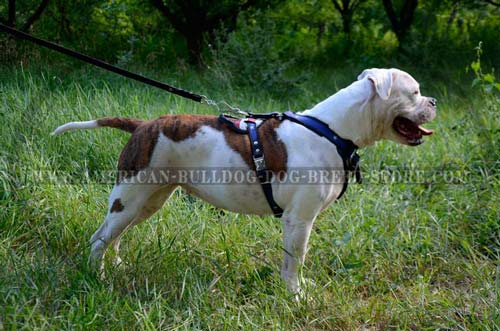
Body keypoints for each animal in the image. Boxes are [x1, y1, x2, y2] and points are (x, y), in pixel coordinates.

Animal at [52, 68, 436, 294]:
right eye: (415, 92)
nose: (433, 100)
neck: (333, 129)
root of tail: (142, 125)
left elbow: (293, 261)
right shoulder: (299, 220)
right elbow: (295, 260)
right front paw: (296, 296)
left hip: (148, 199)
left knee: (114, 235)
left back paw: (114, 267)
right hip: (131, 195)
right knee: (100, 237)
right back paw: (98, 278)